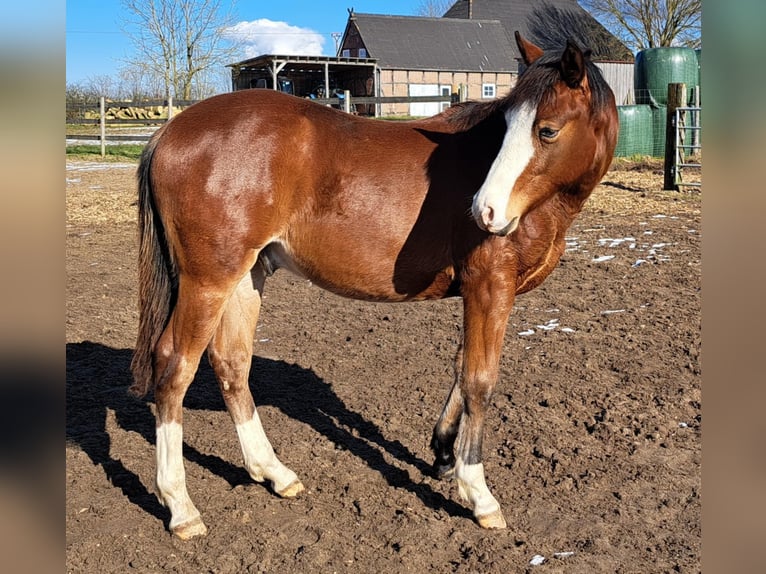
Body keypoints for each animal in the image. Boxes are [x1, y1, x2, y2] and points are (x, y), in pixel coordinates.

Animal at [132, 33, 620, 544]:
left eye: (546, 130)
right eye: (508, 129)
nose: (483, 210)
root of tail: (170, 131)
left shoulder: (477, 295)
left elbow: (460, 368)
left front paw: (443, 453)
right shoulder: (490, 288)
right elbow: (479, 381)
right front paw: (477, 492)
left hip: (247, 275)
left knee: (231, 364)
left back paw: (274, 473)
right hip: (208, 281)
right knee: (174, 368)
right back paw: (181, 507)